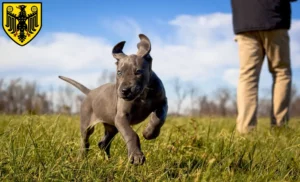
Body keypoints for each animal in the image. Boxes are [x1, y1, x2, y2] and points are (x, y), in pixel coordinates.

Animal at [57, 33, 168, 165]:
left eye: (138, 72)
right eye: (119, 72)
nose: (125, 90)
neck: (142, 94)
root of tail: (91, 92)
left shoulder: (163, 102)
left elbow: (159, 119)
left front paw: (149, 133)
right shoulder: (121, 117)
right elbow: (131, 134)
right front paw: (136, 155)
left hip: (112, 126)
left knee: (103, 143)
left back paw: (108, 161)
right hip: (87, 123)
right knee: (85, 141)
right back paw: (82, 159)